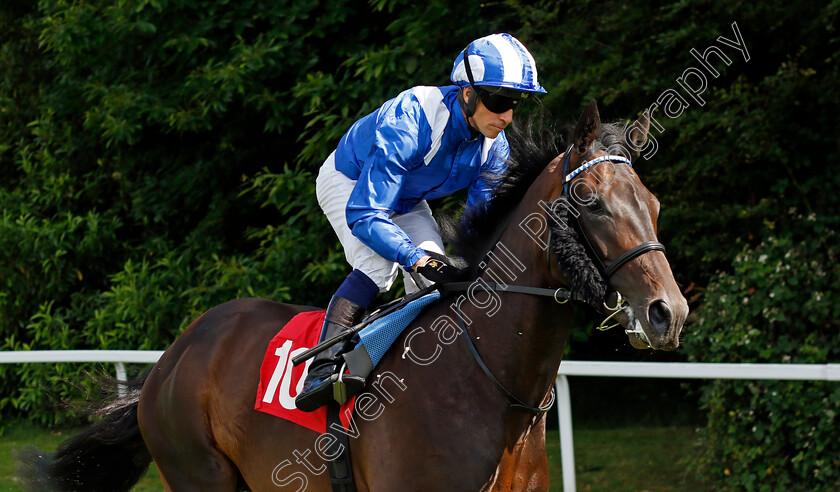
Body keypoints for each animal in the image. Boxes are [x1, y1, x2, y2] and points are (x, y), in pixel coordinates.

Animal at [19, 100, 688, 492]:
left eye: (654, 204)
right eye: (592, 203)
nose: (668, 313)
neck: (489, 385)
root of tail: (173, 357)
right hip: (199, 473)